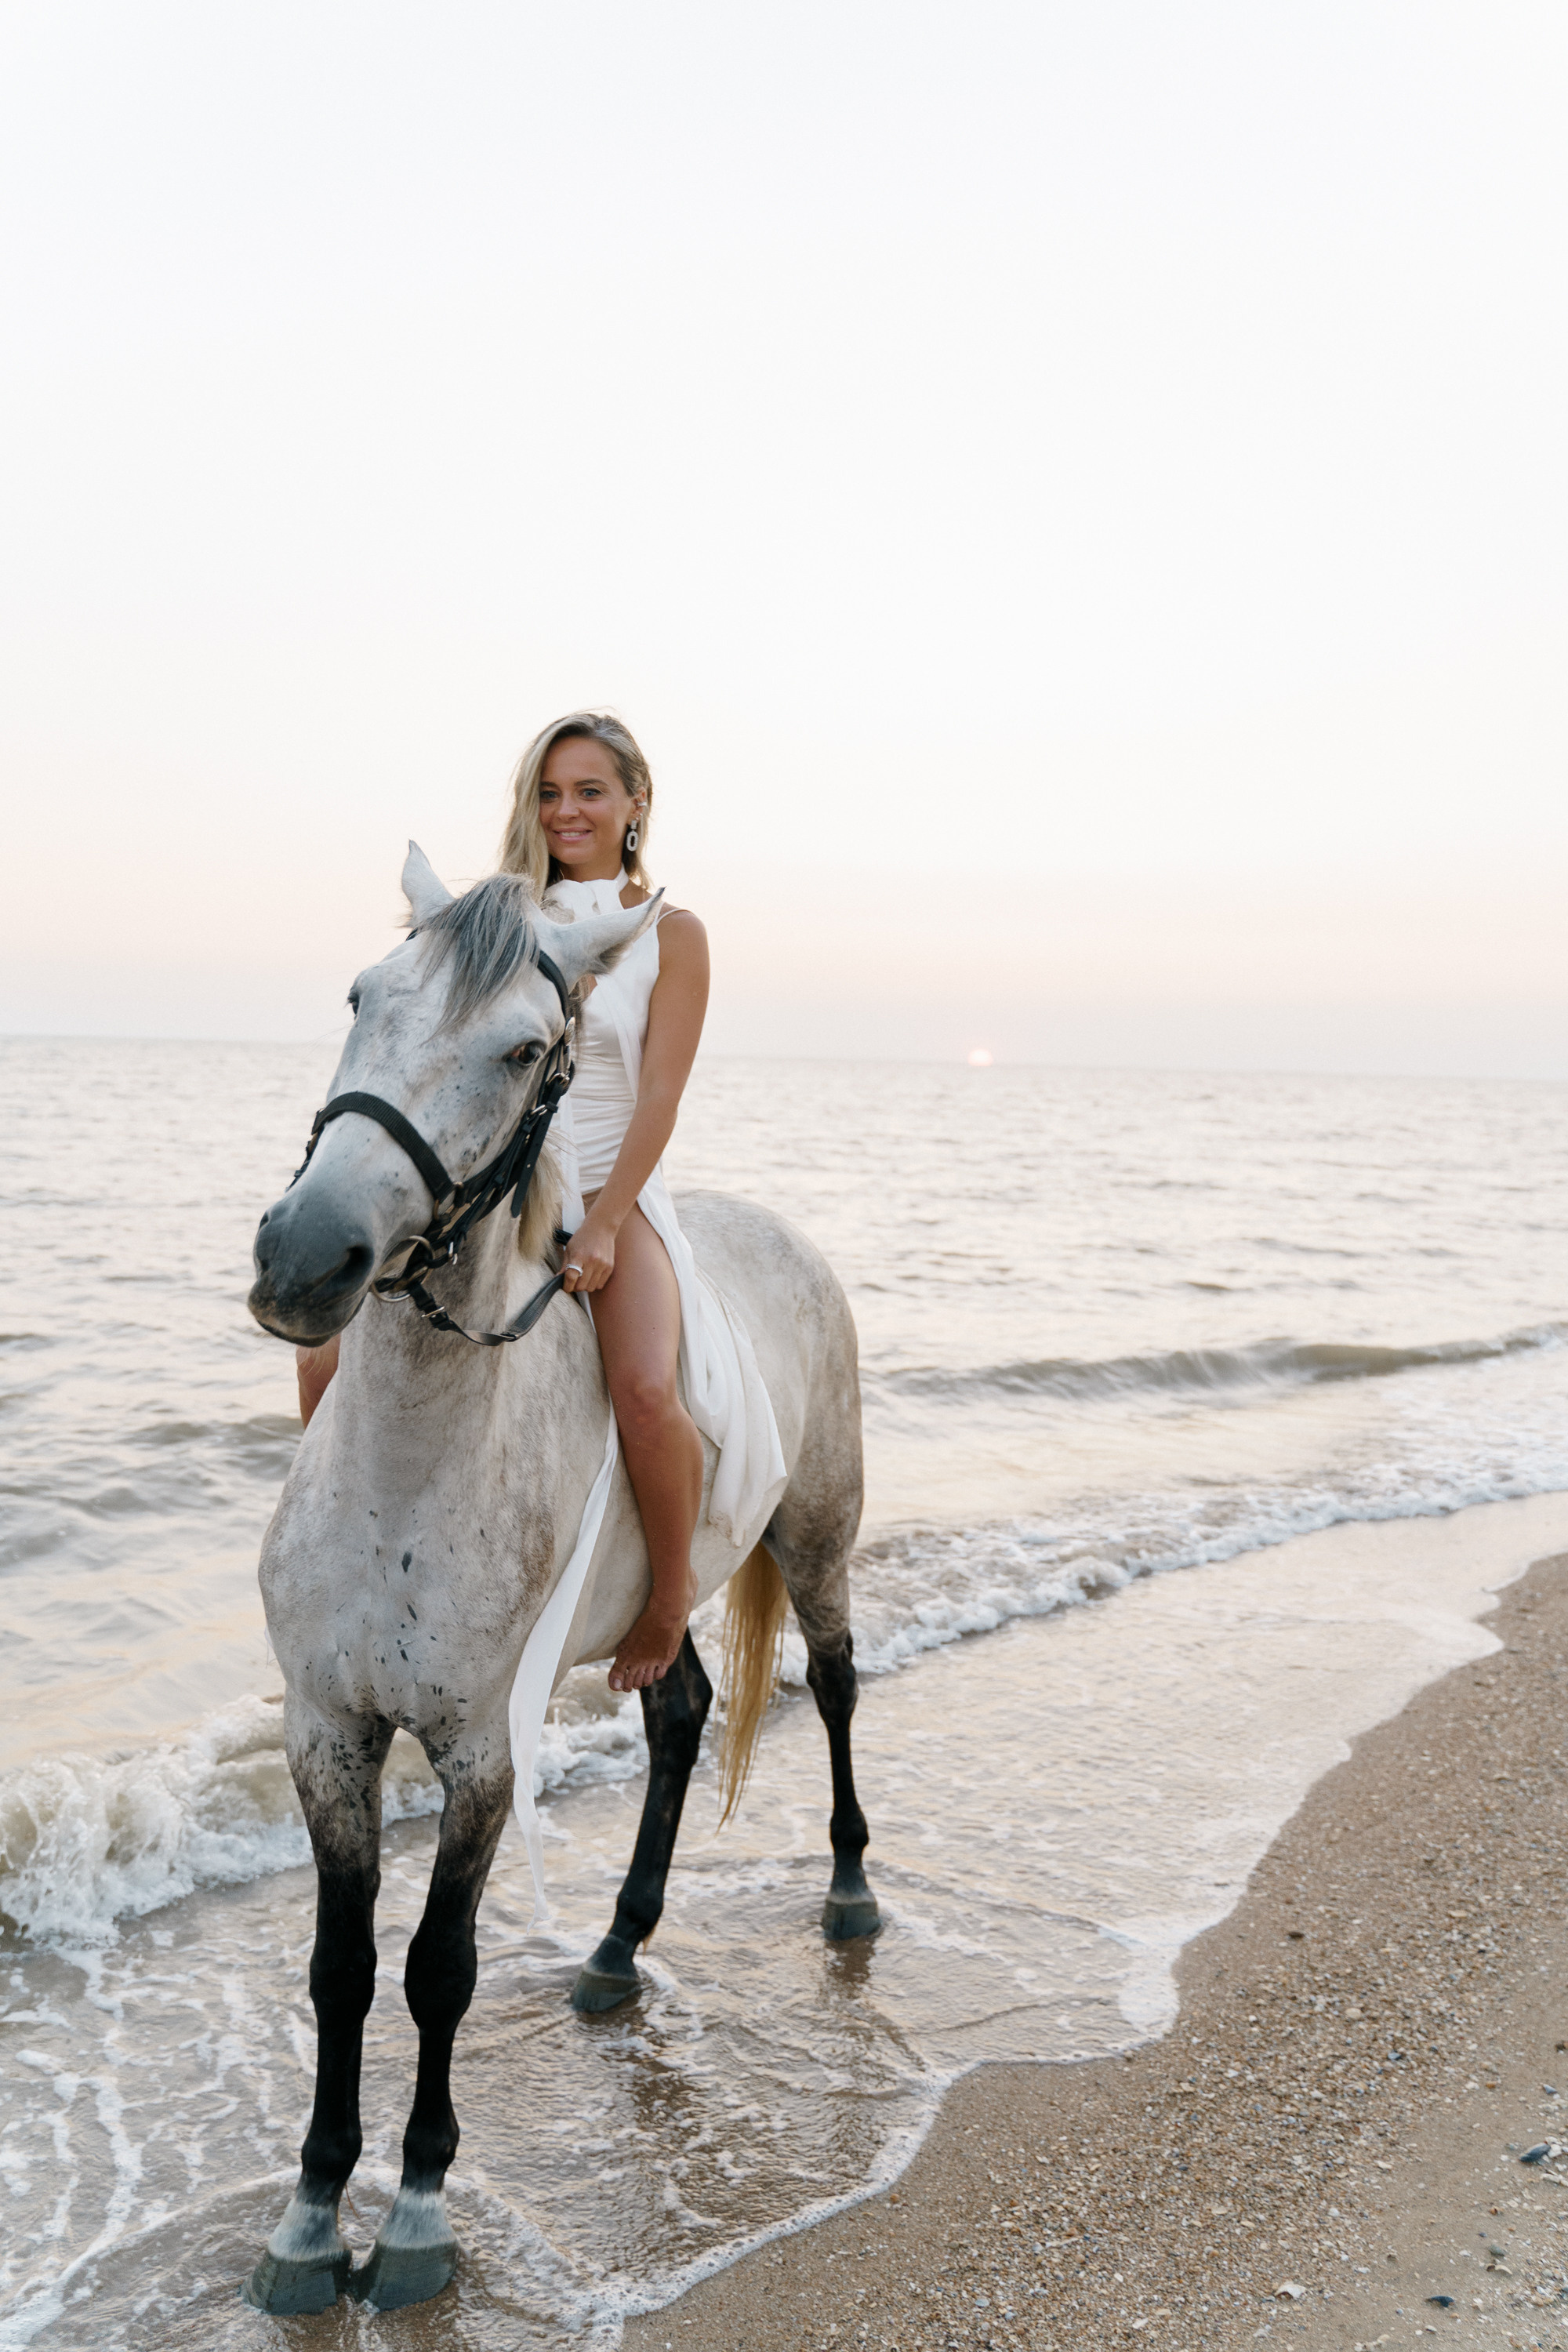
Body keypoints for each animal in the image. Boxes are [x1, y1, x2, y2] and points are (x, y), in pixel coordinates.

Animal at [240, 846, 879, 2316]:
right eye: (360, 993)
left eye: (526, 1049)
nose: (303, 1255)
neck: (406, 1474)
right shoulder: (327, 1731)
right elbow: (340, 1969)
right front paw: (310, 2217)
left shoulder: (481, 1751)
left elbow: (437, 1968)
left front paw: (417, 2211)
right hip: (661, 1602)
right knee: (680, 1710)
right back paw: (616, 1948)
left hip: (818, 1539)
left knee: (834, 1682)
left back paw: (848, 1892)